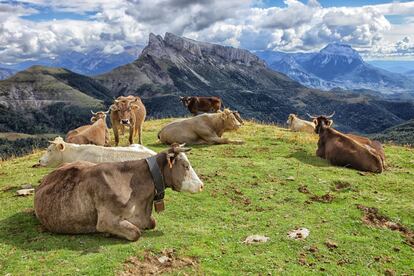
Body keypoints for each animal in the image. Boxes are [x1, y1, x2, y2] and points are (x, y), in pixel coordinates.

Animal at [34, 143, 204, 240]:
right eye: (186, 165)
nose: (201, 185)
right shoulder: (105, 220)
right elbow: (136, 233)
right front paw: (108, 233)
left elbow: (152, 222)